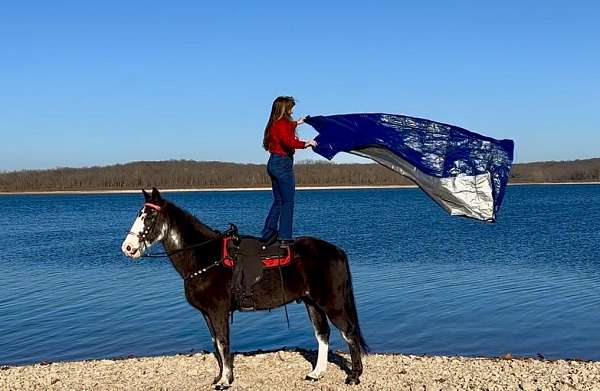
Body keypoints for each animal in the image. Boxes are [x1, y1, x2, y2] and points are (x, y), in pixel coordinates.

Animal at [120, 189, 368, 388]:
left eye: (149, 217)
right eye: (139, 215)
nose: (127, 247)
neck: (204, 257)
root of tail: (336, 250)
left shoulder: (218, 311)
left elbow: (223, 343)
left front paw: (225, 381)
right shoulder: (207, 314)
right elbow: (216, 345)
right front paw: (221, 376)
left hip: (332, 303)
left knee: (349, 332)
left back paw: (354, 376)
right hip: (312, 303)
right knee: (322, 334)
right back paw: (317, 373)